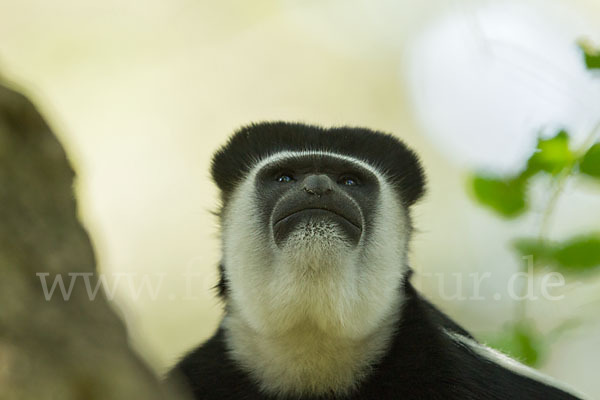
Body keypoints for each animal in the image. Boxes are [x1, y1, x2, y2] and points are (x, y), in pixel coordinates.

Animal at [169, 122, 584, 400]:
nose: (318, 187)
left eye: (350, 181)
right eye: (285, 177)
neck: (313, 343)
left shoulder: (456, 364)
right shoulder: (203, 372)